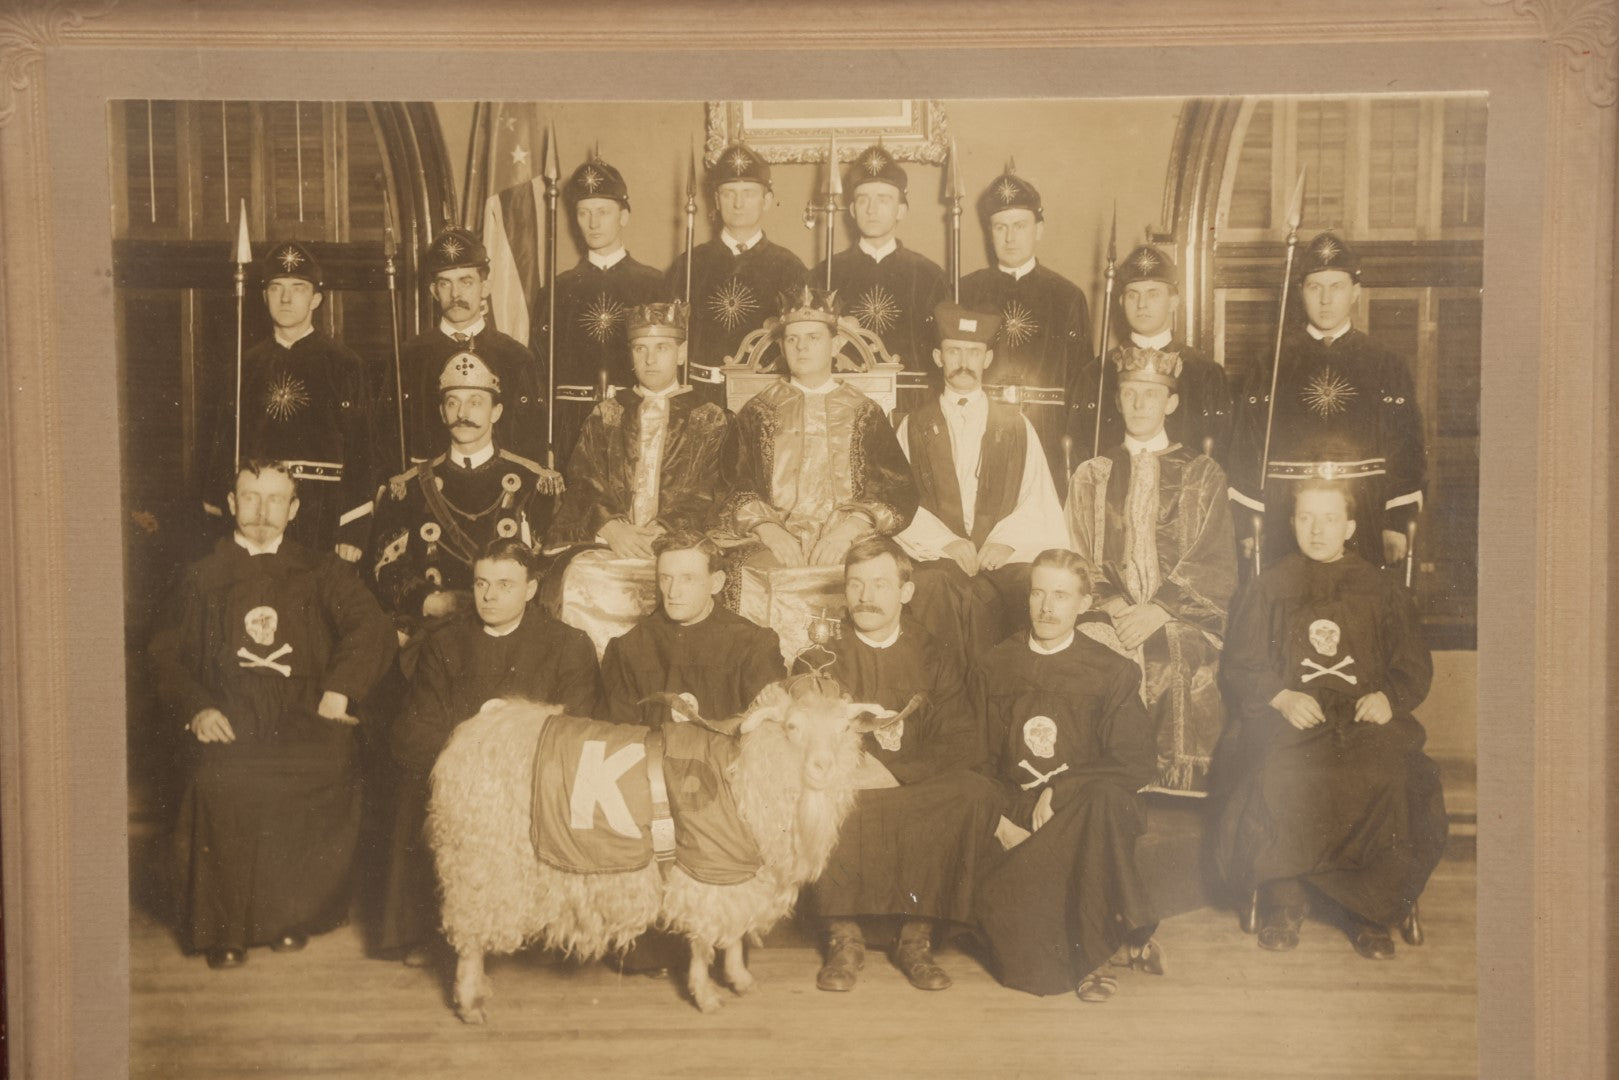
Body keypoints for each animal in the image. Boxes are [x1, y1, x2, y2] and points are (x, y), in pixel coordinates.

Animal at [430, 676, 906, 1023]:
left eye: (844, 729)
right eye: (792, 728)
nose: (822, 767)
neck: (744, 774)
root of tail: (472, 736)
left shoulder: (736, 871)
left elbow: (733, 932)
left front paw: (739, 978)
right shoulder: (705, 866)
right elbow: (703, 938)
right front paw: (706, 995)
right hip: (484, 860)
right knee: (469, 936)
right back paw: (470, 1002)